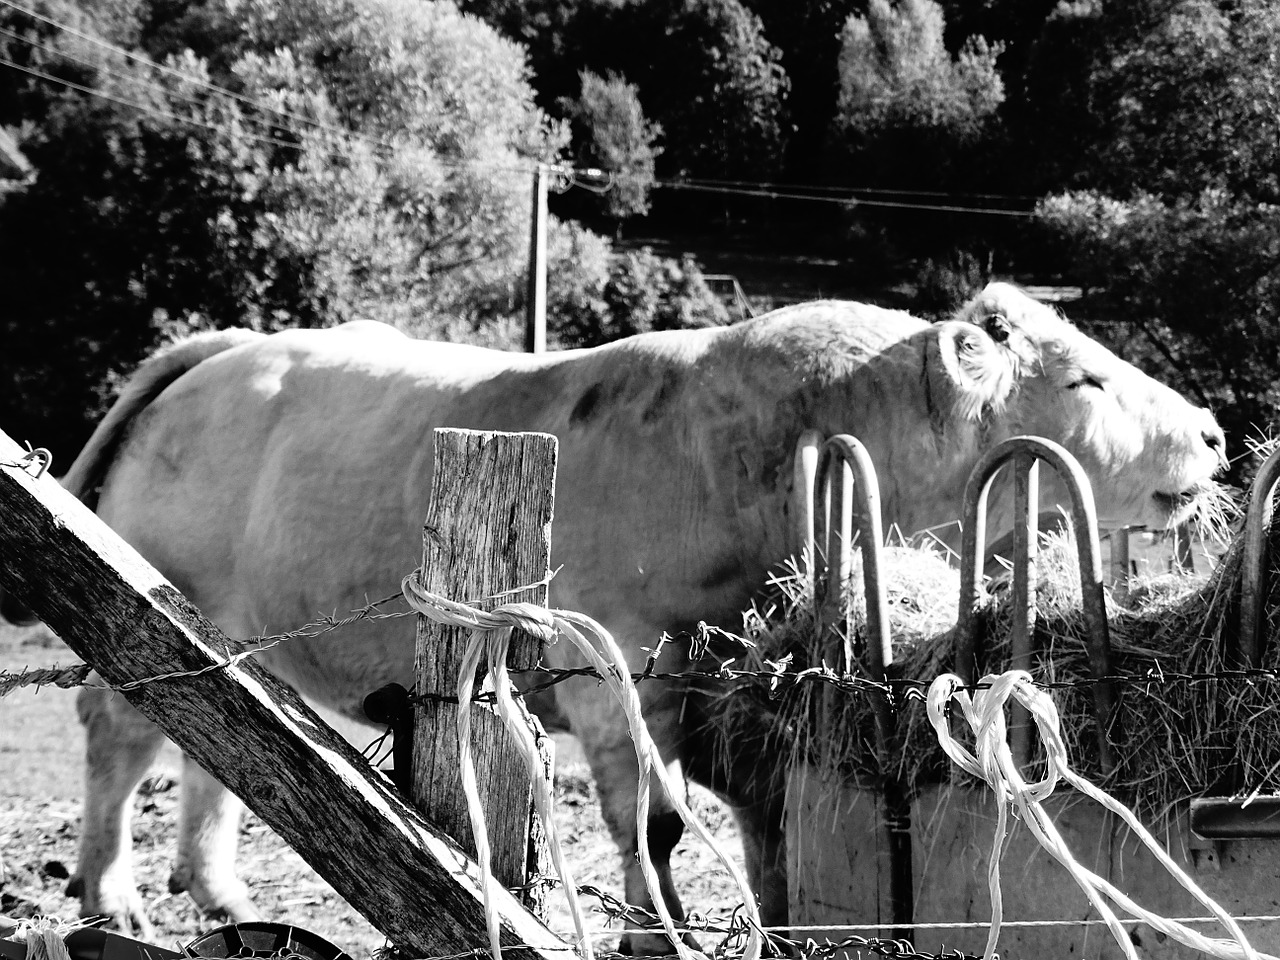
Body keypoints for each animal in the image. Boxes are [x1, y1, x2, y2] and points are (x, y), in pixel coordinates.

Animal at [15, 281, 1223, 952]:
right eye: (1084, 382)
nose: (1214, 433)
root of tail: (225, 348)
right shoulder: (618, 672)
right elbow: (654, 821)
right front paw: (659, 934)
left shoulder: (729, 703)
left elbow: (759, 824)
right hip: (148, 613)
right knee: (122, 745)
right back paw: (111, 897)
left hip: (227, 633)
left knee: (209, 751)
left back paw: (217, 892)